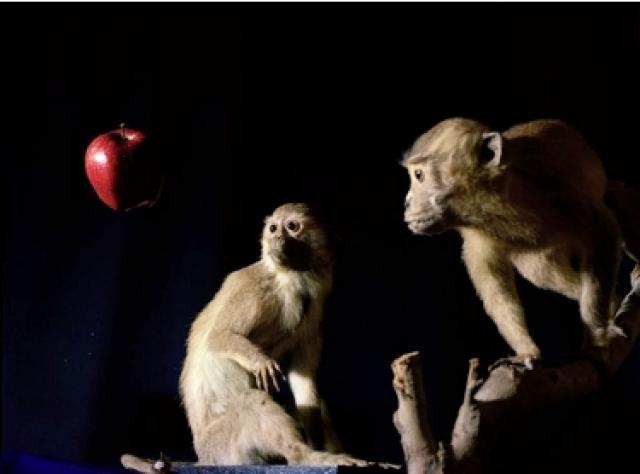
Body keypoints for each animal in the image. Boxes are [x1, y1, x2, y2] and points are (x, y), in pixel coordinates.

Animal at [122, 203, 382, 472]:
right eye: (274, 228)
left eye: (292, 227)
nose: (277, 238)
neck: (294, 279)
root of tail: (204, 457)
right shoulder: (253, 288)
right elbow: (219, 336)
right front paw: (260, 362)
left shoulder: (316, 314)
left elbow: (304, 383)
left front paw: (320, 441)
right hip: (223, 448)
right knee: (252, 401)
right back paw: (307, 457)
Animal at [402, 118, 631, 366]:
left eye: (419, 175)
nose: (407, 202)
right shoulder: (479, 237)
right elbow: (493, 282)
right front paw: (527, 351)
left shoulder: (558, 192)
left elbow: (603, 231)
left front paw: (596, 339)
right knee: (540, 270)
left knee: (618, 197)